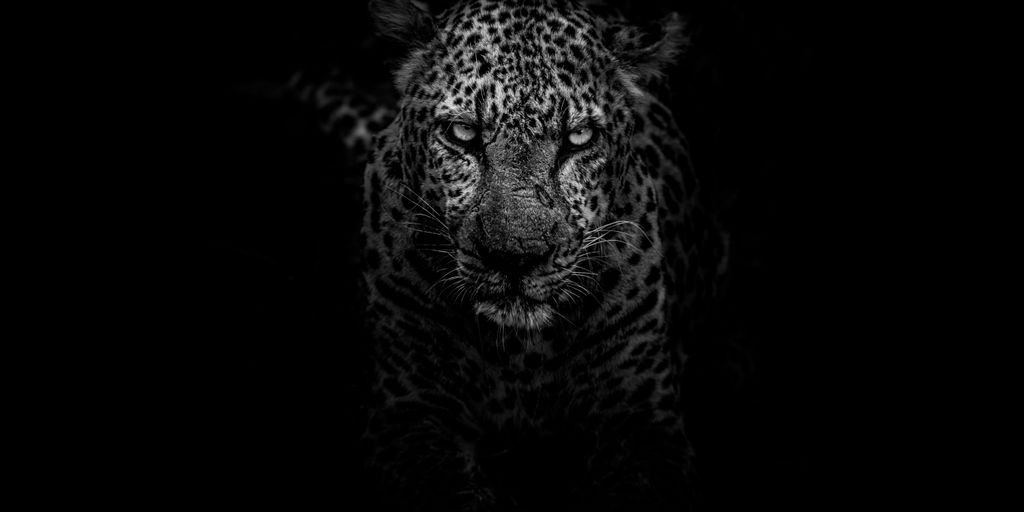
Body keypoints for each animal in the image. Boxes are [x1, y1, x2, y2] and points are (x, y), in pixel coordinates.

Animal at [323, 0, 731, 509]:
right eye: (462, 133)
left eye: (579, 137)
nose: (515, 257)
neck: (521, 354)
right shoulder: (407, 413)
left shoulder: (643, 423)